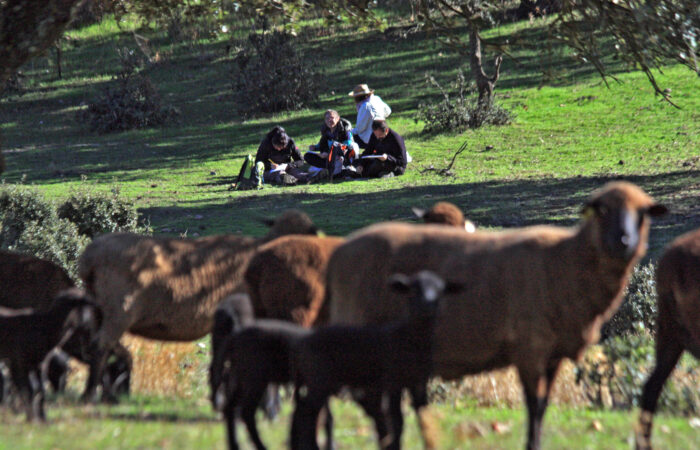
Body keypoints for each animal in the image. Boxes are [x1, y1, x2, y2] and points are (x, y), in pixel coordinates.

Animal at [0, 288, 102, 421]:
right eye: (79, 300)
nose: (94, 342)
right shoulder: (18, 362)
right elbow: (27, 390)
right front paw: (32, 419)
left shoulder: (40, 364)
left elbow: (40, 390)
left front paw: (42, 418)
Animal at [79, 209, 318, 402]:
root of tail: (89, 257)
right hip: (119, 310)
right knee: (101, 346)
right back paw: (89, 395)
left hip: (100, 311)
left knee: (110, 349)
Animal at [290, 271, 463, 450]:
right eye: (414, 289)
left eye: (440, 291)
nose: (428, 304)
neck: (409, 338)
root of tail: (303, 342)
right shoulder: (393, 381)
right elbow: (397, 420)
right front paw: (395, 445)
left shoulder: (419, 383)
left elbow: (423, 416)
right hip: (318, 377)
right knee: (306, 411)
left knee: (304, 409)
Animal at [325, 181, 667, 450]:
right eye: (602, 210)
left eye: (644, 213)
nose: (624, 241)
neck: (567, 260)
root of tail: (339, 255)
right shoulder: (530, 348)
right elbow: (533, 406)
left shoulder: (552, 355)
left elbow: (541, 407)